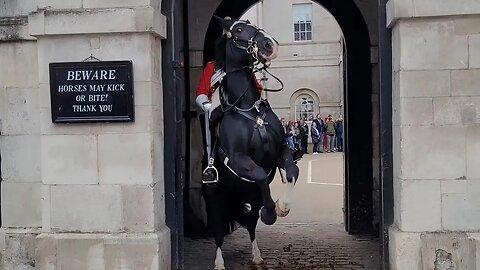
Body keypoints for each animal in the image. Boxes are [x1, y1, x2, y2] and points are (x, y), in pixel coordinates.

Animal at [205, 16, 302, 268]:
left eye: (250, 23)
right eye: (239, 29)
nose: (270, 45)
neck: (249, 109)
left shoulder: (280, 151)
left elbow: (292, 171)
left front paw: (283, 206)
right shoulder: (237, 159)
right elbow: (259, 173)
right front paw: (271, 212)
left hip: (248, 198)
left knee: (250, 225)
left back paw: (257, 255)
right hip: (216, 201)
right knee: (218, 233)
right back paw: (219, 262)